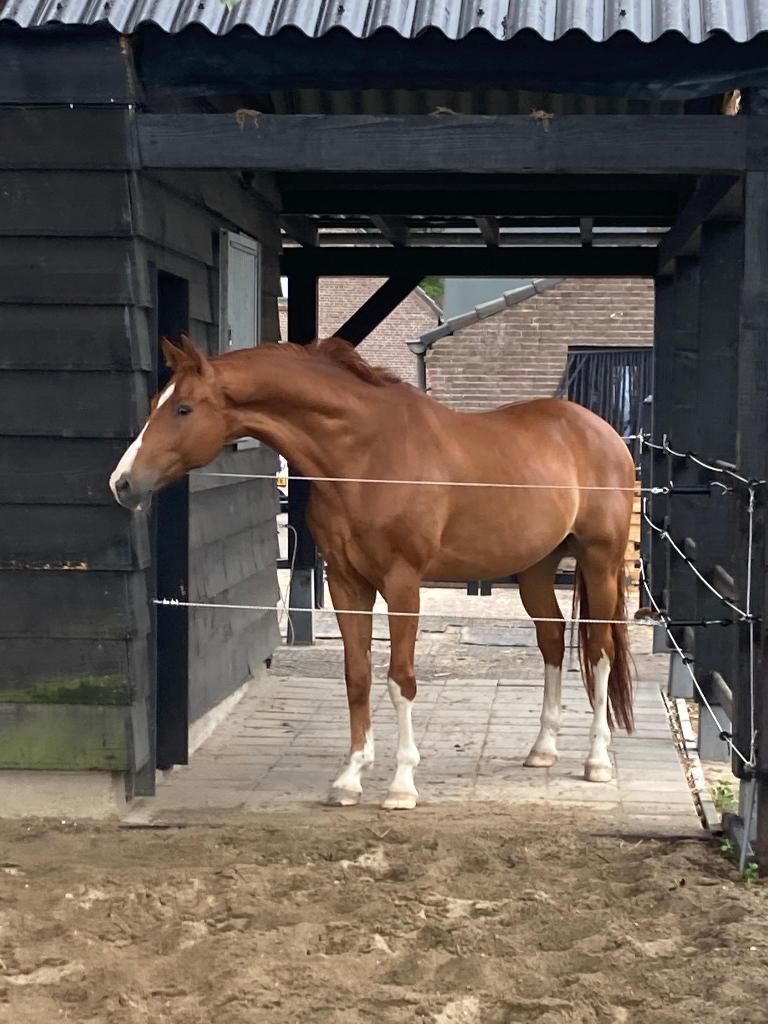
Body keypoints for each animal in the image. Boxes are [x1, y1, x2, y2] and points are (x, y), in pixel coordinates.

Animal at [110, 334, 635, 810]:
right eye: (155, 404)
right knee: (553, 640)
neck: (365, 455)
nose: (122, 483)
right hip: (535, 570)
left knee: (599, 650)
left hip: (601, 561)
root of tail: (602, 432)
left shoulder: (403, 583)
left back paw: (597, 761)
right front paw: (350, 777)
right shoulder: (347, 583)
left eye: (183, 409)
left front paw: (402, 786)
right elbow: (357, 675)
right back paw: (543, 749)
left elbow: (400, 679)